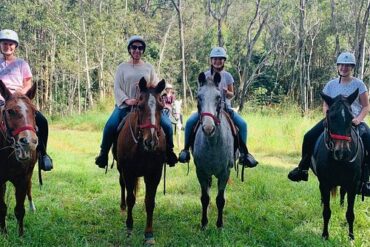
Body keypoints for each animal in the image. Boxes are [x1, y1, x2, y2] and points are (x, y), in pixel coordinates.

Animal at [115, 77, 166, 245]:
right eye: (139, 106)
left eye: (162, 107)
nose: (150, 142)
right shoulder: (128, 172)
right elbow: (131, 198)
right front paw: (129, 228)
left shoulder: (154, 174)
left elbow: (150, 202)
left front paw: (149, 234)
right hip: (120, 169)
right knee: (122, 186)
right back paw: (123, 208)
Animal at [192, 72, 233, 230]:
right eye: (199, 97)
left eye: (218, 97)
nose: (208, 128)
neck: (212, 144)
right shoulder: (201, 172)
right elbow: (204, 198)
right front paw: (204, 223)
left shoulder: (225, 173)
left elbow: (220, 199)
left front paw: (219, 225)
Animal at [310, 89, 362, 239]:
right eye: (331, 117)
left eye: (351, 118)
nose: (342, 152)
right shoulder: (325, 183)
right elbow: (327, 212)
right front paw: (325, 235)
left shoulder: (352, 185)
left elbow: (350, 214)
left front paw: (351, 237)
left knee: (342, 194)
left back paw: (341, 206)